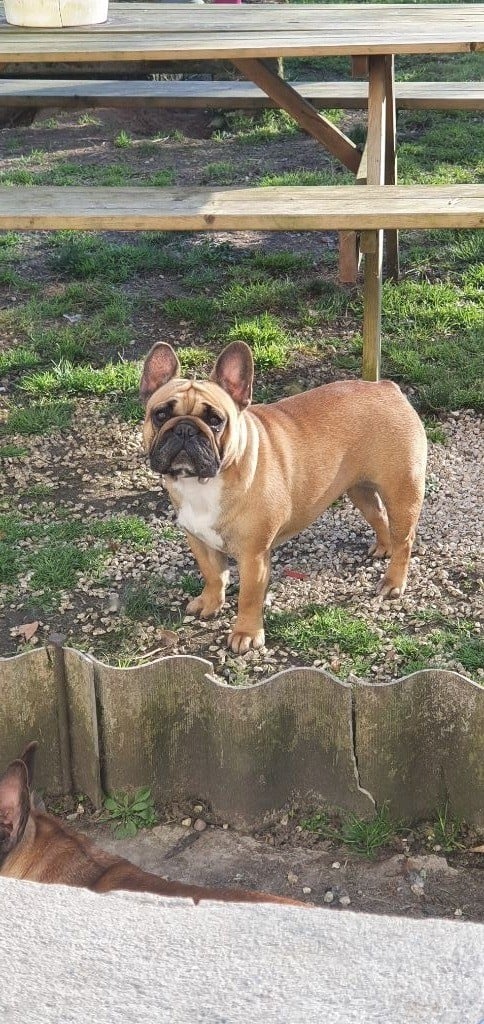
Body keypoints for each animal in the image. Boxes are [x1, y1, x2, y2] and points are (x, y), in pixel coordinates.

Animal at [141, 341, 427, 654]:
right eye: (160, 415)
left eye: (215, 421)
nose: (185, 428)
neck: (202, 483)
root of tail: (387, 388)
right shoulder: (198, 539)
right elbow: (213, 574)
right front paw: (211, 602)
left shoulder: (253, 556)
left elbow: (248, 597)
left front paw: (246, 633)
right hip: (359, 489)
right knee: (378, 515)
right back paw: (384, 547)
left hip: (401, 492)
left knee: (405, 539)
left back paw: (393, 581)